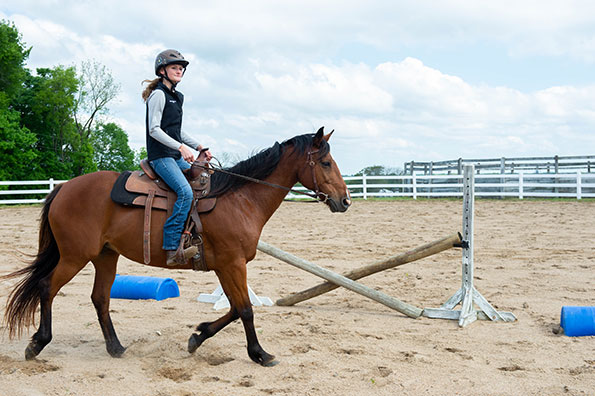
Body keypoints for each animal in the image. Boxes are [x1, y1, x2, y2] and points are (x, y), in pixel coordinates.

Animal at [2, 127, 352, 366]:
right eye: (325, 162)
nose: (345, 201)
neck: (240, 199)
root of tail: (62, 188)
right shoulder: (233, 264)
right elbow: (245, 310)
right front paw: (259, 354)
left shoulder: (225, 266)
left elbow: (234, 308)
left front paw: (197, 337)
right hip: (75, 256)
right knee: (47, 287)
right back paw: (37, 344)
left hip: (105, 256)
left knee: (99, 298)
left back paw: (115, 347)